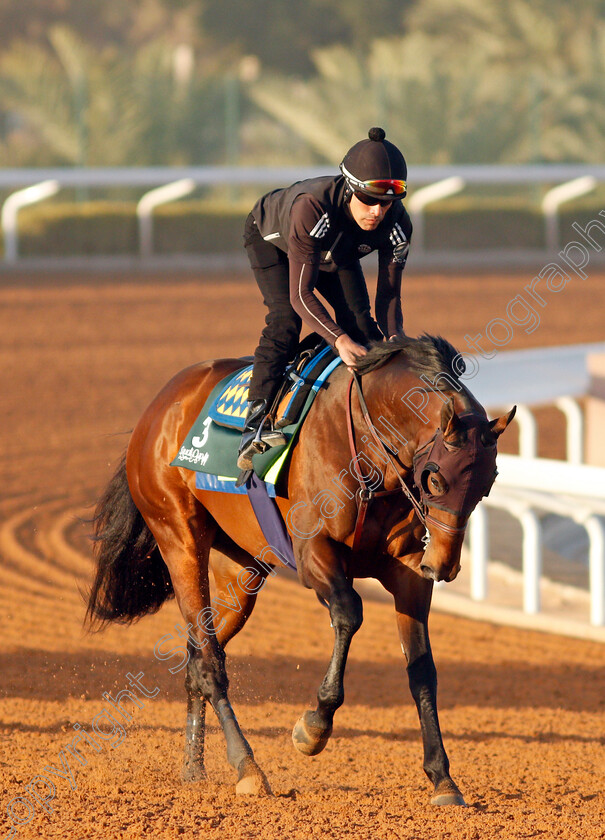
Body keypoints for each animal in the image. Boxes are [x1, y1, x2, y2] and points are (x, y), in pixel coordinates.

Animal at [85, 334, 516, 808]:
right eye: (436, 480)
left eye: (487, 484)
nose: (444, 565)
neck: (370, 446)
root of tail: (159, 406)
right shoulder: (314, 554)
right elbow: (349, 613)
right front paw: (314, 727)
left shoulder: (408, 572)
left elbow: (422, 668)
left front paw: (442, 777)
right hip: (179, 538)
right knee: (210, 662)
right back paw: (247, 767)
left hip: (239, 574)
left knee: (197, 656)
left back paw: (193, 768)